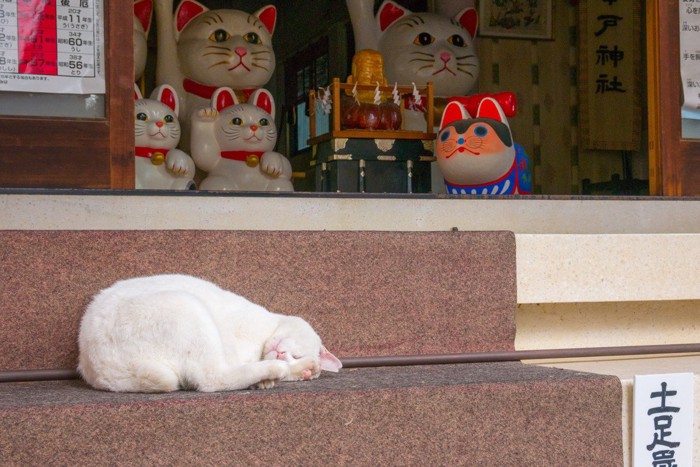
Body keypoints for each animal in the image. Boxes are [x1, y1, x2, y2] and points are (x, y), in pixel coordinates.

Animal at [79, 276, 342, 394]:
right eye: (296, 354)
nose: (281, 354)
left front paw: (294, 373)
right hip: (188, 307)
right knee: (211, 379)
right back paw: (276, 370)